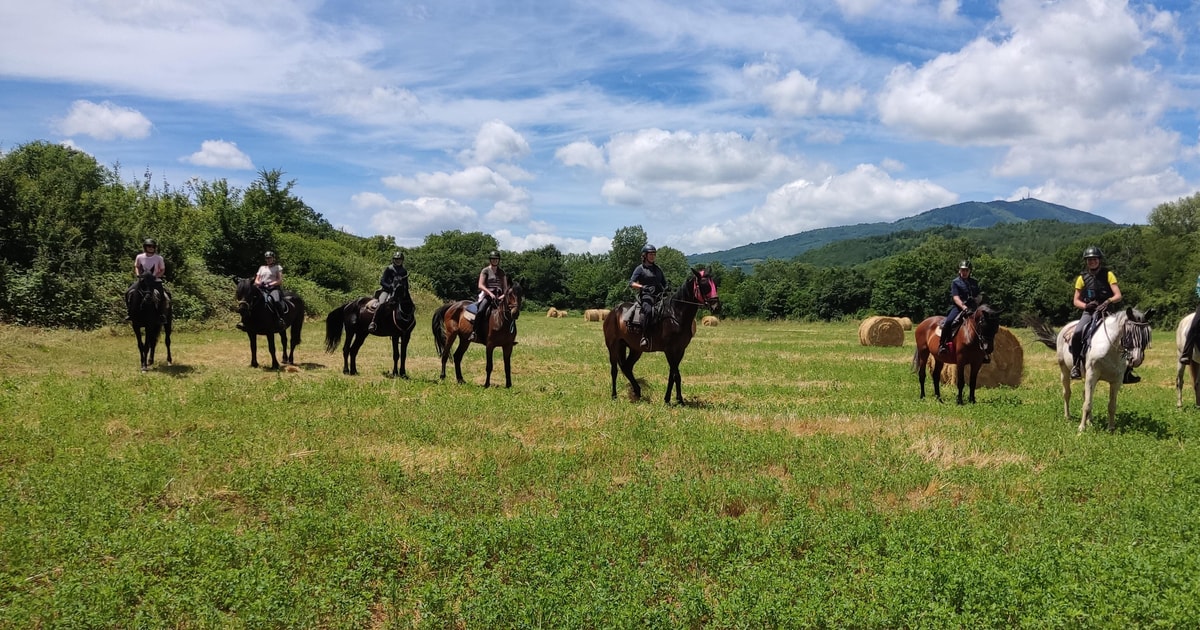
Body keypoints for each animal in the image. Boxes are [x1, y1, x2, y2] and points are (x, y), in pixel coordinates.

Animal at [604, 268, 720, 405]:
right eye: (704, 285)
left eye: (714, 284)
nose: (716, 306)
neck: (676, 314)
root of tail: (613, 312)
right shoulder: (669, 350)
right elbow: (675, 375)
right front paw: (672, 400)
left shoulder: (680, 350)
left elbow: (673, 375)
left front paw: (675, 399)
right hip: (613, 346)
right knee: (614, 370)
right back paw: (614, 395)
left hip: (635, 349)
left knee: (627, 367)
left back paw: (637, 391)